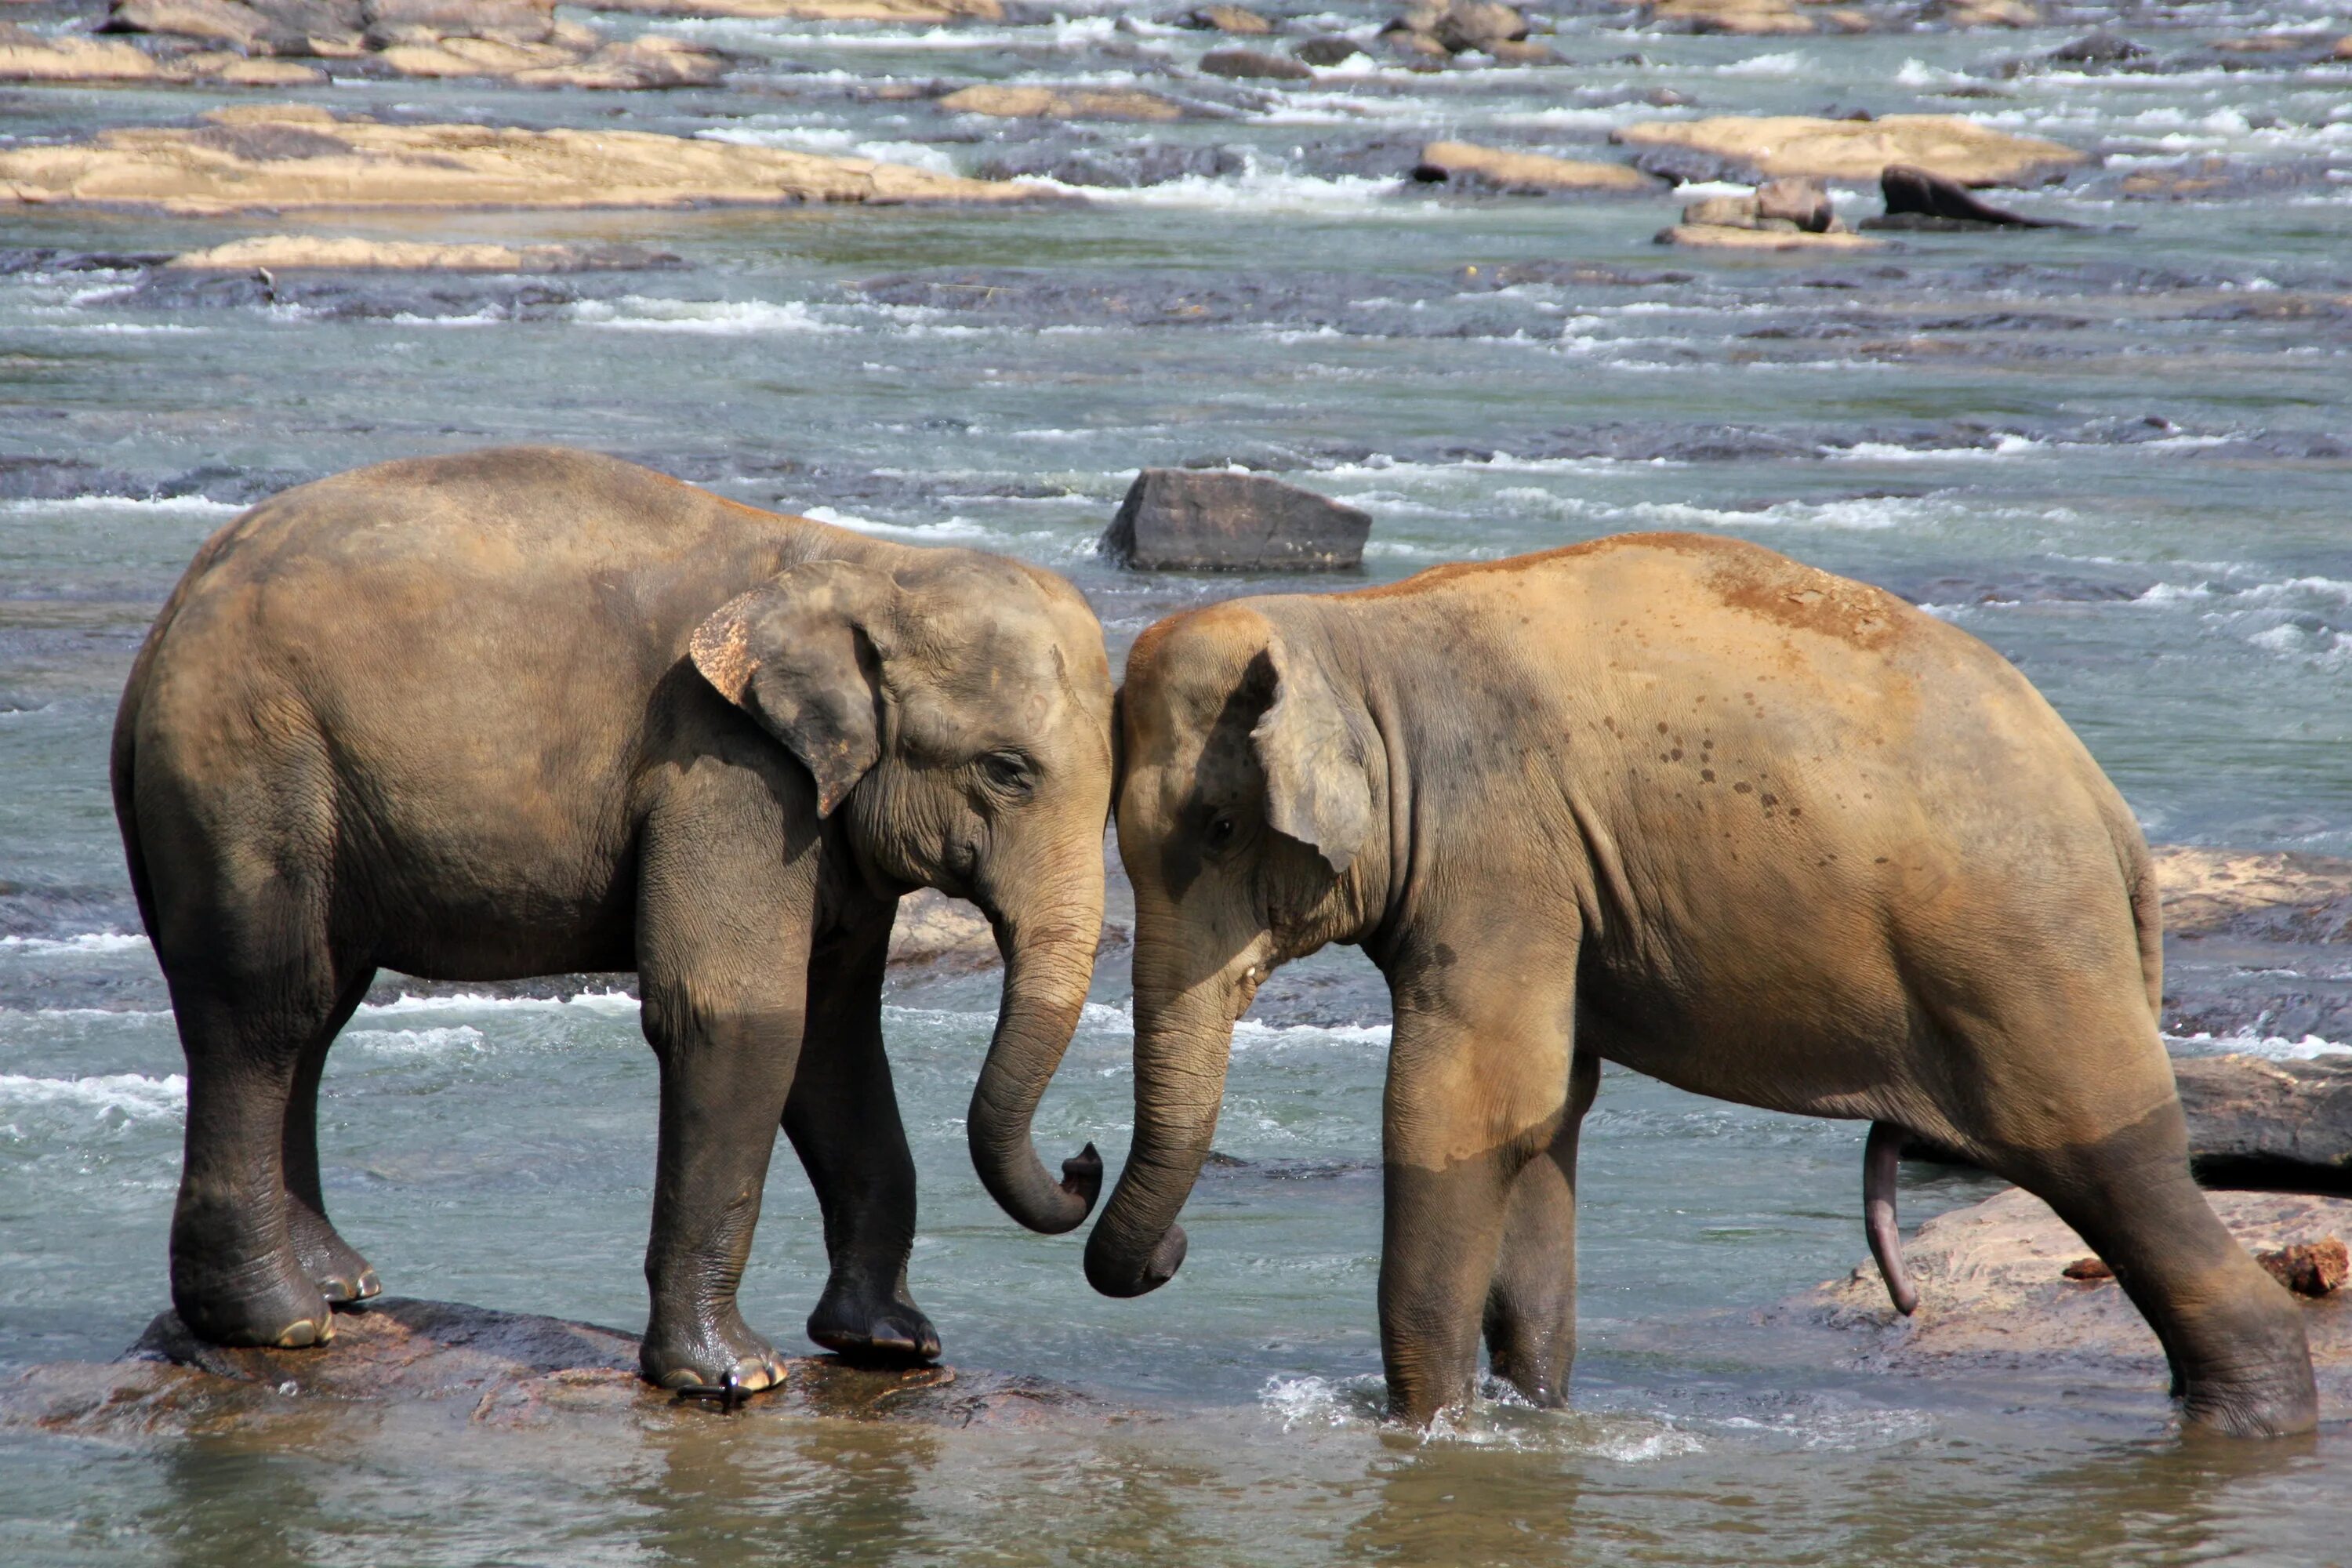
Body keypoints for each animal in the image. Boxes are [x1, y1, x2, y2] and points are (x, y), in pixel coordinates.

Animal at [101, 446, 1110, 1392]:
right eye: (1008, 769)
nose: (1084, 1160)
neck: (870, 563)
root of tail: (175, 608)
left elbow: (834, 1036)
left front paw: (892, 1343)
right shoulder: (725, 767)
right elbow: (741, 1014)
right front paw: (736, 1377)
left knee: (317, 1009)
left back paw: (341, 1287)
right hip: (247, 761)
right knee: (265, 1004)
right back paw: (278, 1323)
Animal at [1091, 533, 2324, 1439]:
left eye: (1218, 827)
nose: (1168, 1246)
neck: (1352, 630)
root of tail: (2112, 813)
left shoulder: (1499, 853)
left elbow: (1465, 1105)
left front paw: (1428, 1431)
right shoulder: (1549, 884)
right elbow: (1548, 1115)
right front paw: (1533, 1419)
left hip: (2029, 954)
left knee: (2108, 1159)